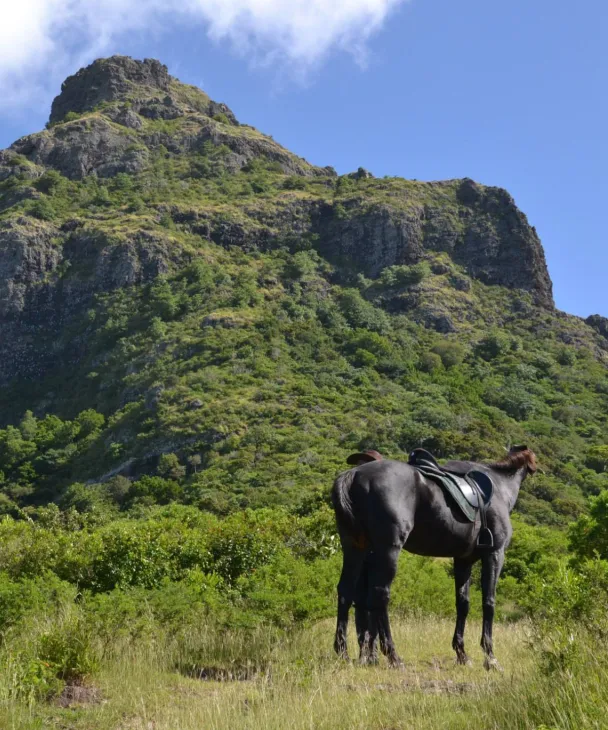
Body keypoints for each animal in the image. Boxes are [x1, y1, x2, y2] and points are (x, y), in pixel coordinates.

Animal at [331, 445, 537, 670]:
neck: (500, 487)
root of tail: (354, 474)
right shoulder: (495, 554)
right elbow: (489, 603)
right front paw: (490, 657)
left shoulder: (463, 560)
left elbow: (463, 604)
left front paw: (462, 654)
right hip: (388, 550)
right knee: (379, 595)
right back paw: (393, 656)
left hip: (354, 548)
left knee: (346, 592)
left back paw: (343, 653)